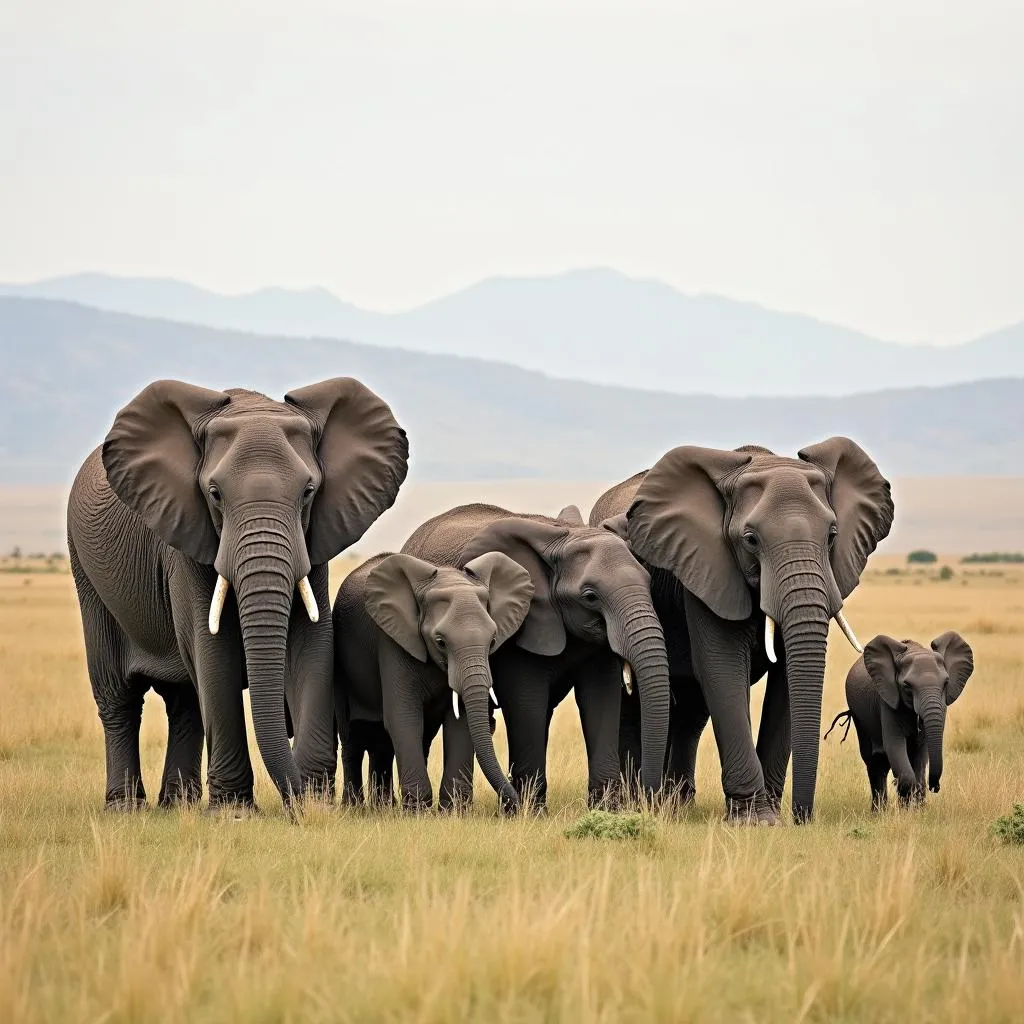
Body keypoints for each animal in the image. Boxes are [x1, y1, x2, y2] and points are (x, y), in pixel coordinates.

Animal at [65, 376, 411, 806]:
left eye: (308, 492)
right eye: (215, 494)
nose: (294, 802)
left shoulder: (315, 540)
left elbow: (312, 641)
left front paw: (314, 802)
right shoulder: (187, 536)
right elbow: (213, 650)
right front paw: (235, 809)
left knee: (184, 701)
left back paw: (177, 804)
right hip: (86, 573)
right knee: (119, 697)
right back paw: (127, 807)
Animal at [333, 548, 532, 811]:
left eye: (492, 641)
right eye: (440, 642)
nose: (514, 807)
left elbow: (459, 721)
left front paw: (453, 810)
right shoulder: (393, 640)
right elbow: (404, 717)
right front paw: (417, 810)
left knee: (389, 741)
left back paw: (383, 807)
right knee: (353, 736)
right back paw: (354, 807)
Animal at [399, 503, 671, 806]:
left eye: (649, 583)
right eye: (590, 596)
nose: (651, 797)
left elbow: (600, 696)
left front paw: (607, 809)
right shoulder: (521, 628)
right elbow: (527, 701)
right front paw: (528, 808)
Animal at [589, 440, 892, 823]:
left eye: (832, 536)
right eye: (750, 540)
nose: (803, 817)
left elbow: (786, 679)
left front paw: (771, 815)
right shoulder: (705, 567)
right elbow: (723, 666)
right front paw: (756, 820)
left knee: (690, 710)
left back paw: (677, 804)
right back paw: (642, 803)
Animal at [827, 626, 970, 811]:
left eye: (946, 683)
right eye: (907, 686)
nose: (935, 787)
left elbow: (921, 752)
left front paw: (916, 810)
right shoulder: (887, 700)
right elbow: (895, 745)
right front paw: (906, 808)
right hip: (861, 718)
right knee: (875, 762)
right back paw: (879, 812)